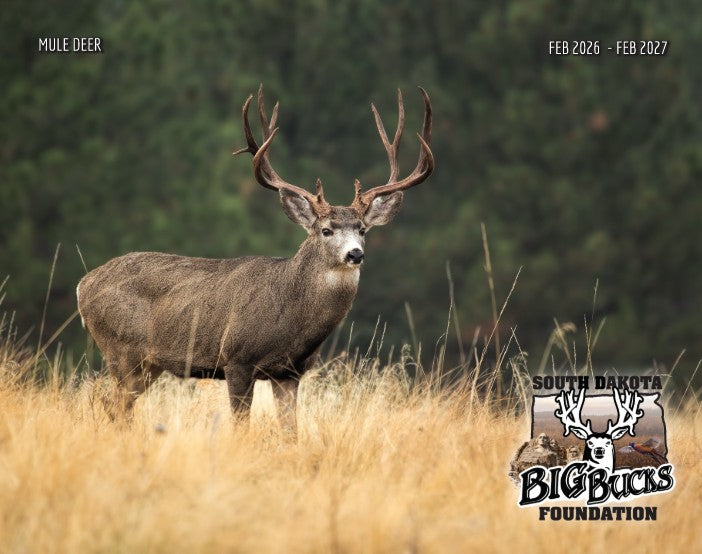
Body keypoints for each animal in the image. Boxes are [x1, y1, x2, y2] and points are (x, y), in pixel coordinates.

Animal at [76, 85, 434, 429]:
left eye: (362, 229)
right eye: (326, 230)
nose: (355, 253)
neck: (291, 318)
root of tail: (84, 285)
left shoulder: (290, 372)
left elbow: (291, 431)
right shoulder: (236, 359)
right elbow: (240, 425)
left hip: (147, 363)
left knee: (117, 406)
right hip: (121, 349)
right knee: (113, 404)